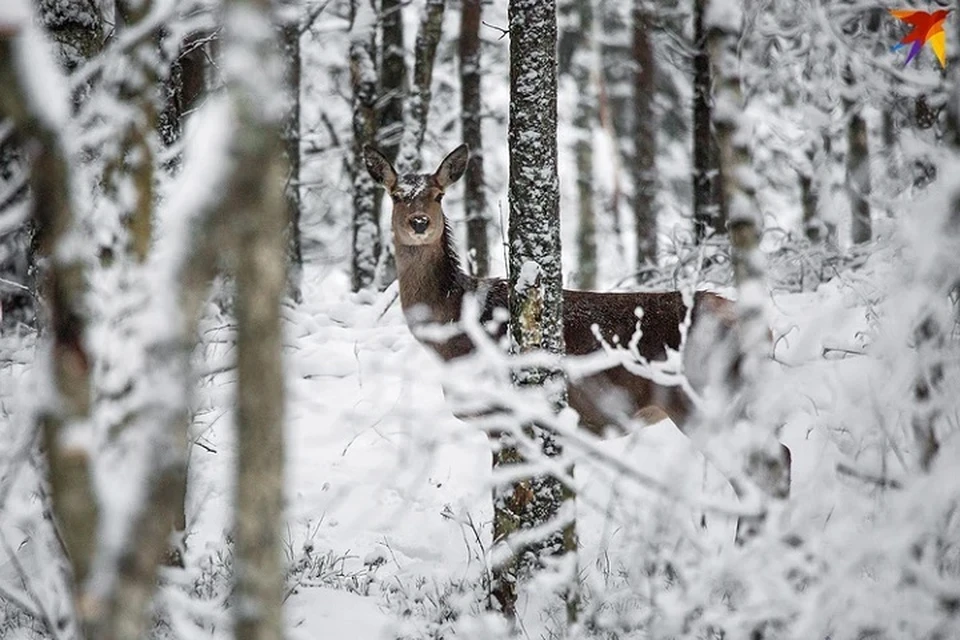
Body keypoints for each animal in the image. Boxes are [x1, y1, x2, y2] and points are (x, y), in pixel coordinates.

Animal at [364, 144, 792, 504]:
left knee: (759, 473)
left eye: (438, 194)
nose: (420, 222)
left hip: (701, 398)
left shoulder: (504, 415)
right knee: (778, 459)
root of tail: (759, 329)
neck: (456, 328)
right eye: (396, 194)